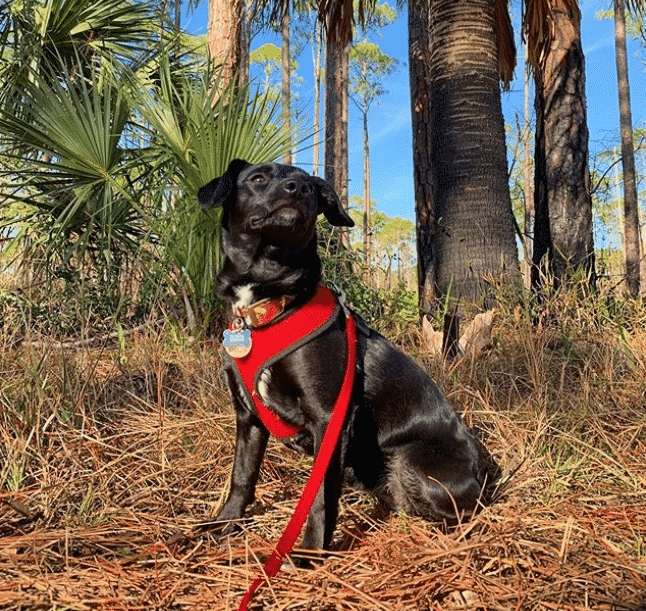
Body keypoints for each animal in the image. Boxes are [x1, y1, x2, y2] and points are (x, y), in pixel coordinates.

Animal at [196, 160, 486, 552]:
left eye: (310, 186)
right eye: (258, 178)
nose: (296, 189)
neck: (271, 303)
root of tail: (483, 473)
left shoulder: (329, 417)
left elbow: (318, 497)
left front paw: (308, 553)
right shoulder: (248, 417)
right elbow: (242, 475)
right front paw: (225, 523)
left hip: (412, 461)